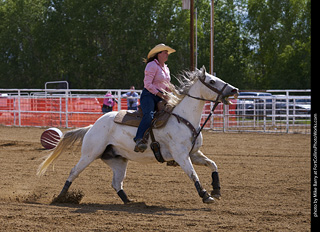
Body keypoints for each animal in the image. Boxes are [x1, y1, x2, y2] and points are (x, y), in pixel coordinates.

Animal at [37, 66, 238, 203]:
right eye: (212, 81)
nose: (234, 90)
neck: (183, 118)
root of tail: (93, 126)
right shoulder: (181, 155)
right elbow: (193, 174)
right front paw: (205, 195)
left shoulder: (194, 154)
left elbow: (213, 164)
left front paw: (216, 190)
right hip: (90, 154)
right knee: (74, 171)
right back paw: (61, 197)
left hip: (118, 160)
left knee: (116, 183)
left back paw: (129, 202)